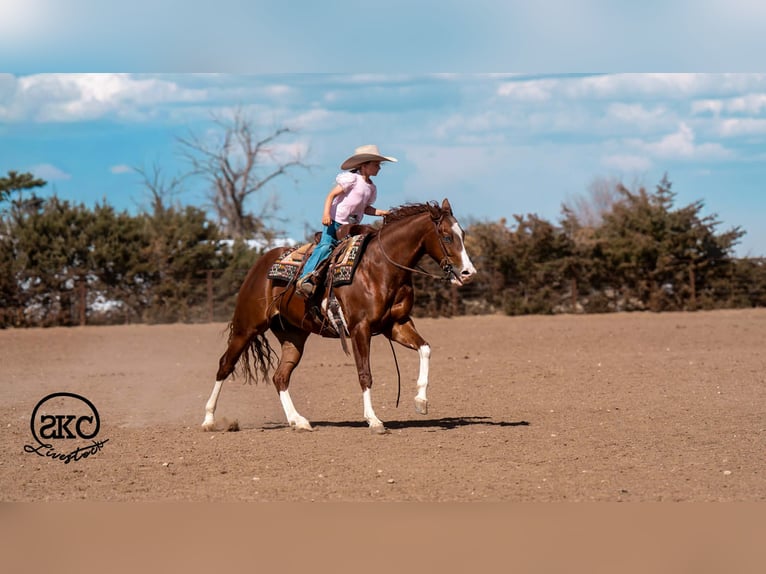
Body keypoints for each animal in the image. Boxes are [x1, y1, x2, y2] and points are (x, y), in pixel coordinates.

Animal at [201, 198, 477, 434]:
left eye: (463, 234)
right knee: (225, 365)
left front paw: (420, 400)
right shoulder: (359, 328)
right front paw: (373, 420)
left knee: (280, 376)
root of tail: (260, 264)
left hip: (293, 336)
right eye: (446, 236)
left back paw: (298, 421)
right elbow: (365, 373)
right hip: (247, 327)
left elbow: (425, 348)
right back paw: (209, 420)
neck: (380, 268)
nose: (468, 273)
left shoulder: (396, 325)